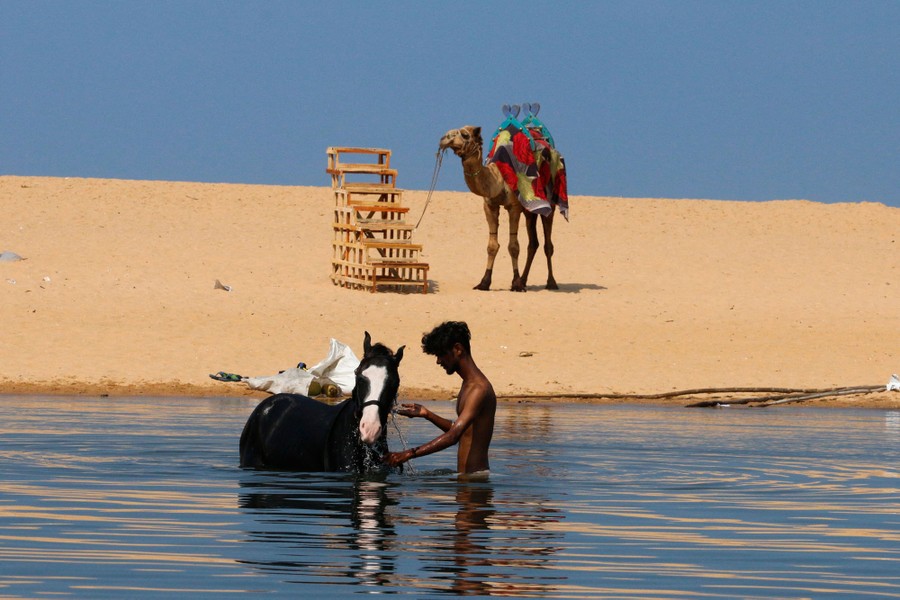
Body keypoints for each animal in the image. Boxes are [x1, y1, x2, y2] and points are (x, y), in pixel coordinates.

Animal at [439, 125, 561, 292]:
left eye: (464, 135)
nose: (444, 138)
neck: (498, 179)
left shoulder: (514, 207)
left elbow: (514, 246)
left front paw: (515, 283)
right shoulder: (490, 205)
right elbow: (492, 246)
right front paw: (484, 282)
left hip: (550, 203)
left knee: (548, 244)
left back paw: (551, 282)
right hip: (530, 211)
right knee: (533, 243)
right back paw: (524, 280)